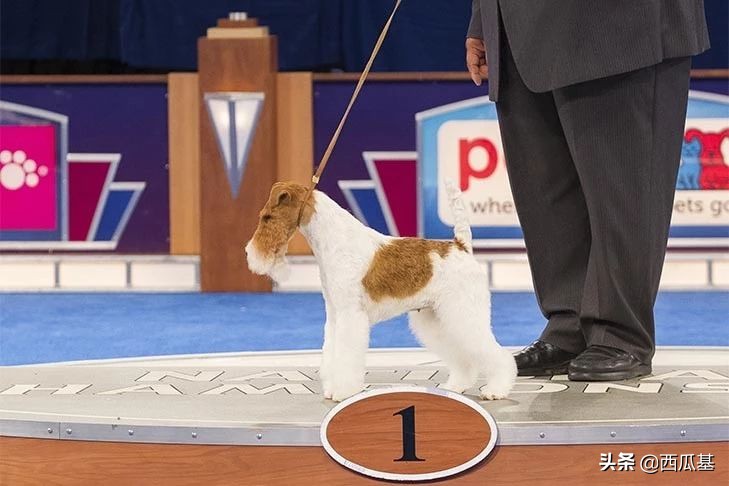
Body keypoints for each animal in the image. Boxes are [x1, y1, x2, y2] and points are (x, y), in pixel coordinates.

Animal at [247, 180, 516, 400]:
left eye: (266, 217)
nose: (249, 253)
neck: (334, 240)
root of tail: (461, 247)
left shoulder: (350, 315)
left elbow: (346, 356)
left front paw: (342, 391)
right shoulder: (335, 314)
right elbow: (332, 352)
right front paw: (332, 387)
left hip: (463, 314)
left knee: (497, 354)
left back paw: (496, 390)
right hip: (438, 318)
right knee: (463, 358)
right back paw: (456, 385)